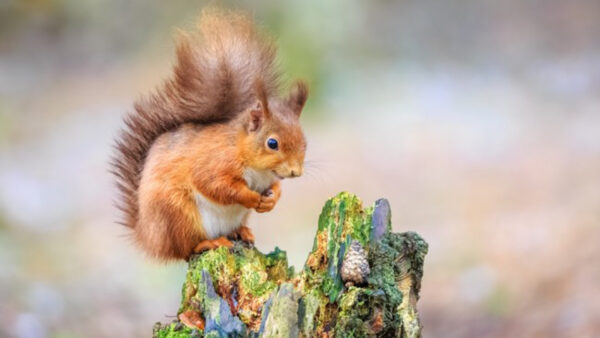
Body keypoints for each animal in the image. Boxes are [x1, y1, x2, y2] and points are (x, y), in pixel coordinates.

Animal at [112, 8, 310, 262]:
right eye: (272, 143)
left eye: (305, 141)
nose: (296, 172)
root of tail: (148, 237)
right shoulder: (215, 162)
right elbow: (215, 185)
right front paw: (252, 198)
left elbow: (275, 187)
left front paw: (271, 199)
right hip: (177, 215)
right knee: (186, 250)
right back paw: (210, 242)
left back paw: (240, 231)